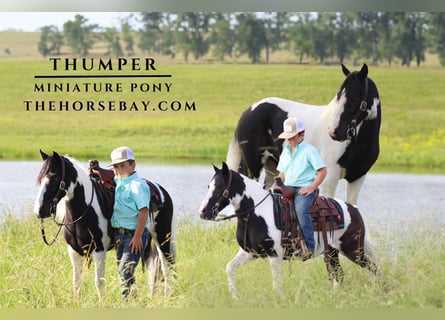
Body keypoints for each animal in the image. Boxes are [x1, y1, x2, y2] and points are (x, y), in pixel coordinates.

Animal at [33, 150, 175, 300]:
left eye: (54, 178)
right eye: (40, 179)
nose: (39, 211)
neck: (84, 209)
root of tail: (160, 190)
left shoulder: (99, 250)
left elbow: (99, 282)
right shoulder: (74, 251)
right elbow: (76, 282)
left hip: (163, 239)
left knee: (167, 269)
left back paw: (167, 298)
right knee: (152, 270)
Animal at [199, 162, 376, 300]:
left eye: (219, 186)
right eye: (208, 186)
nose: (203, 212)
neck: (257, 212)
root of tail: (354, 209)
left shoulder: (274, 256)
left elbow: (276, 284)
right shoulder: (250, 253)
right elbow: (230, 268)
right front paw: (236, 297)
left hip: (353, 250)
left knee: (372, 268)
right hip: (332, 253)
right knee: (340, 275)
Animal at [227, 63, 380, 204]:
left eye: (354, 98)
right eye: (338, 96)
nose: (334, 132)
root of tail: (248, 111)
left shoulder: (357, 178)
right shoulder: (330, 177)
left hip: (272, 166)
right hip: (251, 166)